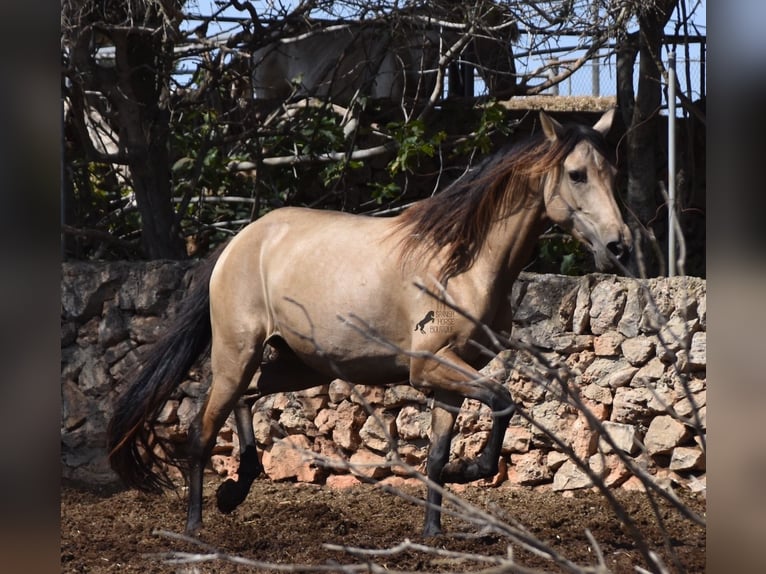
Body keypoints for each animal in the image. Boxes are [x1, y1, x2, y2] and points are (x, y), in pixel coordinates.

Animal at [109, 110, 636, 536]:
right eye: (576, 174)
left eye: (613, 172)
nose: (619, 246)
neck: (463, 263)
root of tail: (240, 241)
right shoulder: (429, 366)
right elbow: (503, 400)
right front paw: (470, 471)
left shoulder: (450, 375)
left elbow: (438, 454)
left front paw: (434, 530)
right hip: (237, 353)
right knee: (202, 427)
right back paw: (196, 524)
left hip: (300, 365)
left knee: (248, 396)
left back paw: (238, 486)